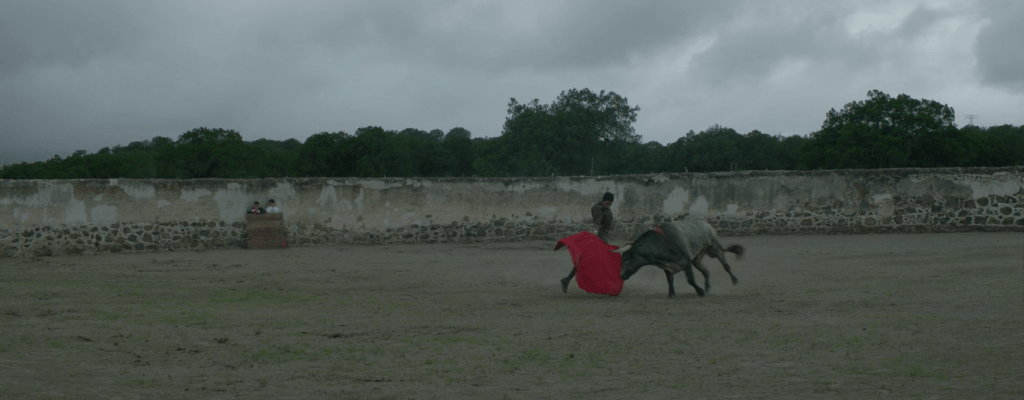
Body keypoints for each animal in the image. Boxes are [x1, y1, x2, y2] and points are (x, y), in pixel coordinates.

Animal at [614, 219, 744, 298]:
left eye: (626, 258)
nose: (621, 275)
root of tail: (706, 224)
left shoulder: (686, 263)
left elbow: (690, 280)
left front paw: (700, 291)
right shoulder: (667, 267)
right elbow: (670, 280)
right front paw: (671, 294)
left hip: (714, 248)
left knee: (725, 265)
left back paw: (735, 280)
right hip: (697, 259)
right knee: (706, 272)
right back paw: (707, 287)